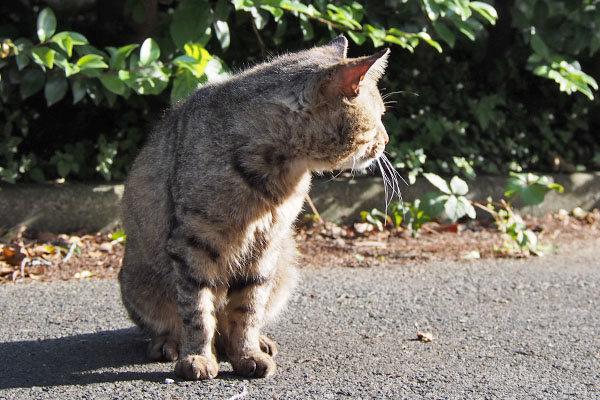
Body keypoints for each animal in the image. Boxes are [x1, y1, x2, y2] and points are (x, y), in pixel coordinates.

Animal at [119, 33, 392, 378]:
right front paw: (196, 357)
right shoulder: (193, 242)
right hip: (139, 280)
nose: (387, 139)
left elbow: (247, 307)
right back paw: (168, 344)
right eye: (378, 117)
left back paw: (257, 342)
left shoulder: (266, 243)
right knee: (169, 321)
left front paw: (247, 353)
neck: (278, 172)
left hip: (285, 265)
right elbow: (197, 310)